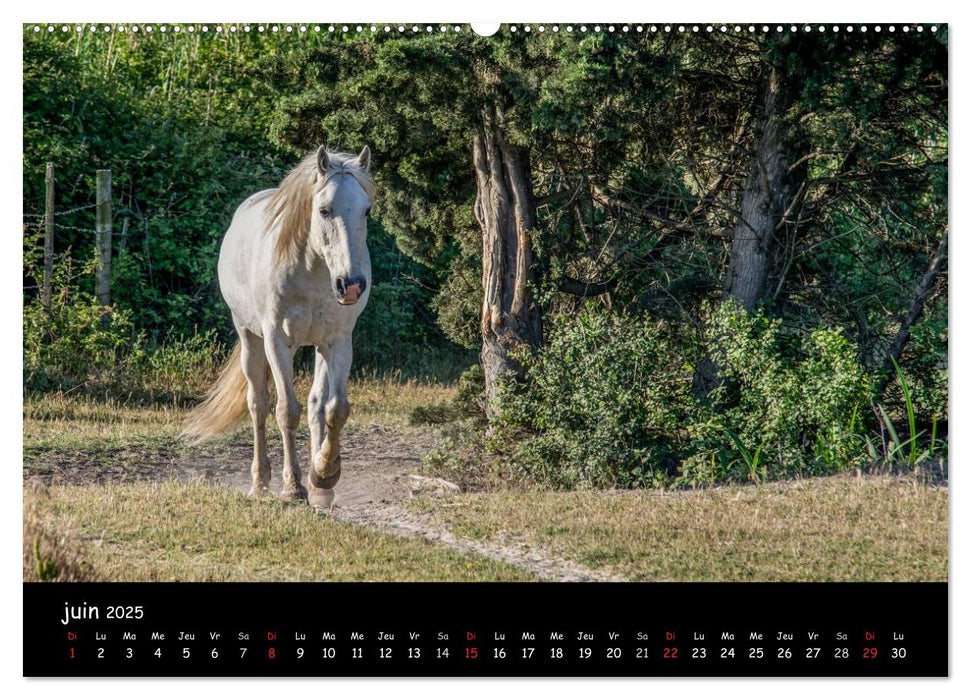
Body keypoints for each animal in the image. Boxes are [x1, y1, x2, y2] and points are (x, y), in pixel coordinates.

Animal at [184, 148, 374, 508]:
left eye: (366, 210)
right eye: (324, 210)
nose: (352, 286)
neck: (312, 270)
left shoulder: (338, 341)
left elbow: (335, 408)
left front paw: (324, 475)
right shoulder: (276, 341)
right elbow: (286, 411)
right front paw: (293, 487)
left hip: (317, 347)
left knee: (316, 405)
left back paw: (319, 485)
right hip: (250, 340)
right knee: (257, 404)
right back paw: (260, 483)